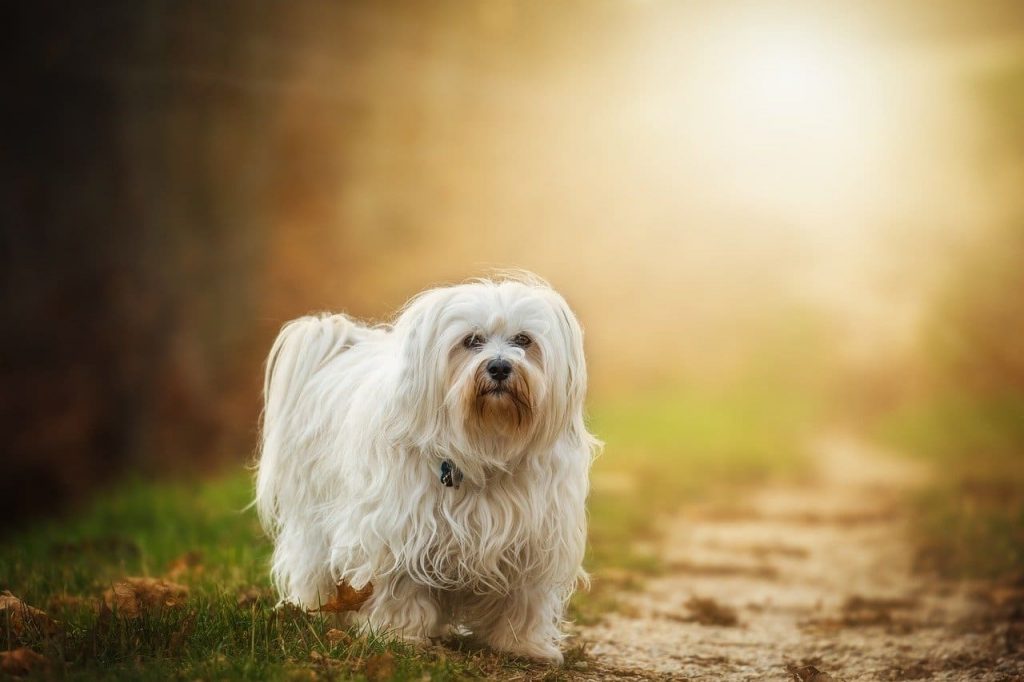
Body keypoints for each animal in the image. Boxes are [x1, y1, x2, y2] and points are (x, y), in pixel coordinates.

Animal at [252, 270, 598, 659]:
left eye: (523, 339)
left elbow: (524, 599)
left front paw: (522, 644)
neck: (485, 443)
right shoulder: (399, 532)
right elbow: (401, 588)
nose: (499, 366)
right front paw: (398, 635)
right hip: (313, 519)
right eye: (471, 341)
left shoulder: (533, 539)